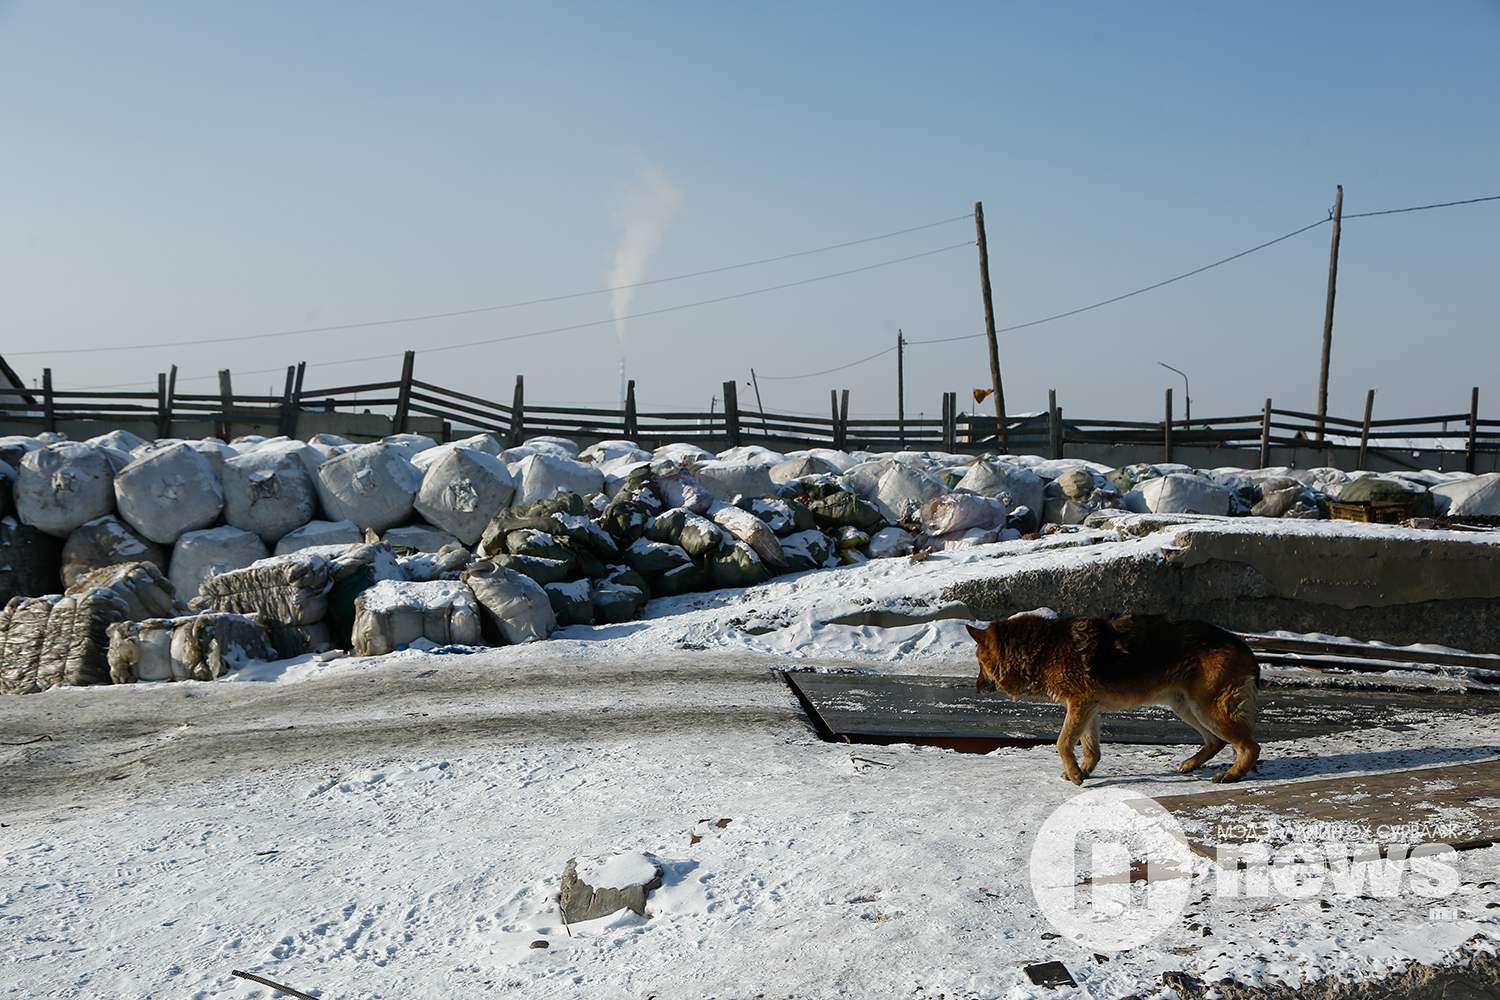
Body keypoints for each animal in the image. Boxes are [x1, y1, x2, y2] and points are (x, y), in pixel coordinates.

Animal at [966, 614, 1260, 785]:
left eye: (979, 662)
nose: (976, 688)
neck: (1043, 648)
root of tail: (1242, 644)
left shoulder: (1079, 704)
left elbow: (1062, 743)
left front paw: (1076, 774)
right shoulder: (1088, 708)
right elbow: (1091, 748)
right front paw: (1082, 770)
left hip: (1207, 708)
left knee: (1250, 746)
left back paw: (1233, 774)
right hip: (1186, 707)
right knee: (1217, 741)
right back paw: (1191, 764)